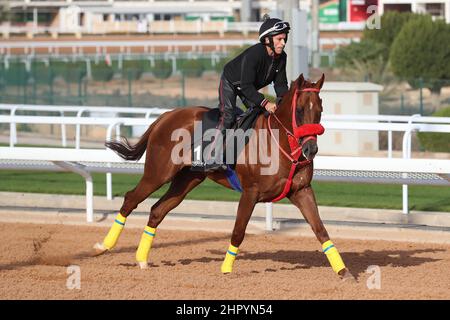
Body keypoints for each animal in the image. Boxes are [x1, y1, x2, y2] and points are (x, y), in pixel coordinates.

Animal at [94, 74, 356, 282]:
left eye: (319, 110)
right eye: (300, 110)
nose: (311, 149)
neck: (279, 143)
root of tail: (166, 116)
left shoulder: (301, 191)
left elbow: (321, 230)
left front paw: (344, 271)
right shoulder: (250, 192)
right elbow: (238, 231)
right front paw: (226, 269)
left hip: (186, 180)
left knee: (157, 210)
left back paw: (141, 258)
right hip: (158, 173)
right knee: (131, 199)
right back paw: (103, 246)